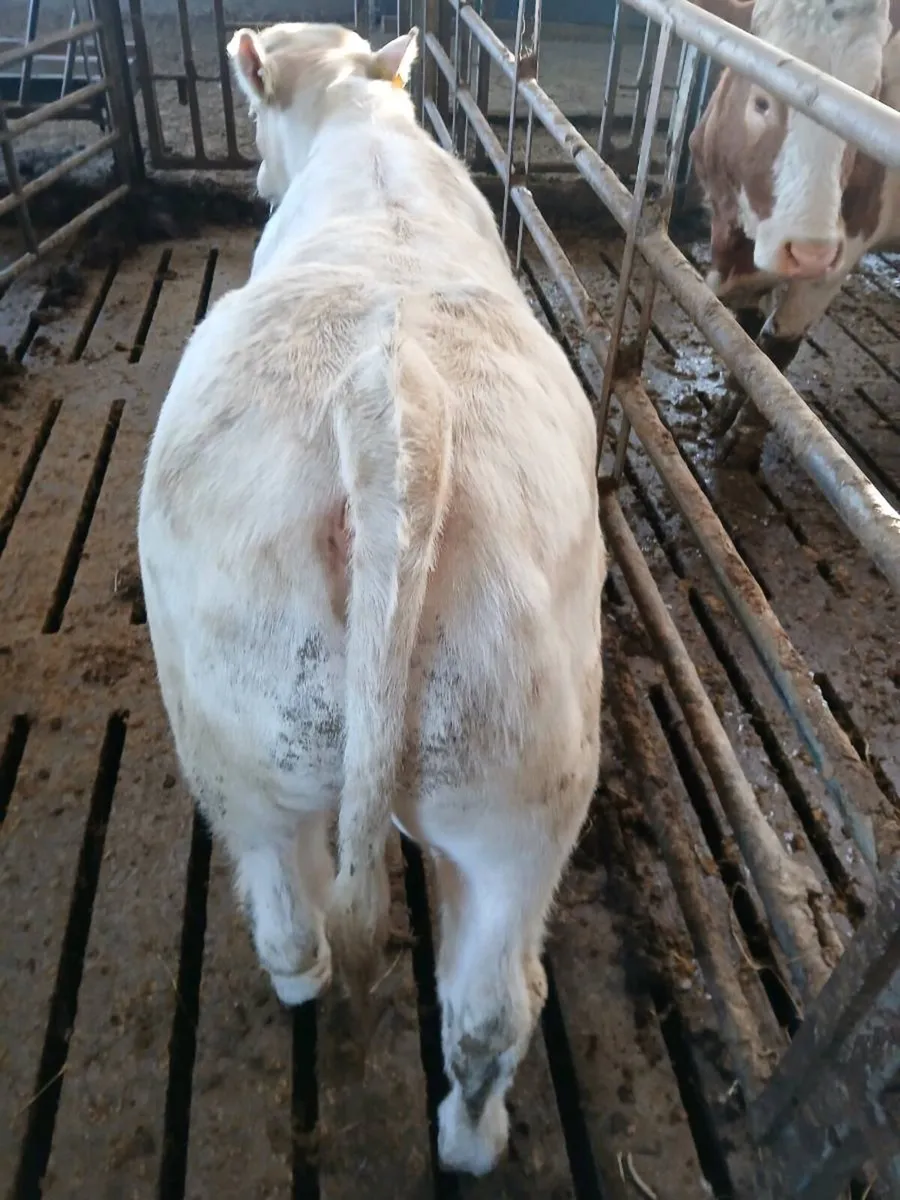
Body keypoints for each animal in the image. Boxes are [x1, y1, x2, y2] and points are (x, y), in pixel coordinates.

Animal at [137, 23, 605, 1177]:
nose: (256, 178)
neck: (364, 125)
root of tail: (393, 405)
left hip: (233, 750)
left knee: (289, 917)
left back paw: (304, 987)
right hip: (518, 787)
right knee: (489, 1010)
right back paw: (472, 1143)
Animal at [688, 0, 900, 455]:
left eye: (872, 94)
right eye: (762, 101)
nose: (809, 253)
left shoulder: (839, 259)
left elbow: (777, 350)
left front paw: (742, 441)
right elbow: (747, 334)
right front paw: (725, 405)